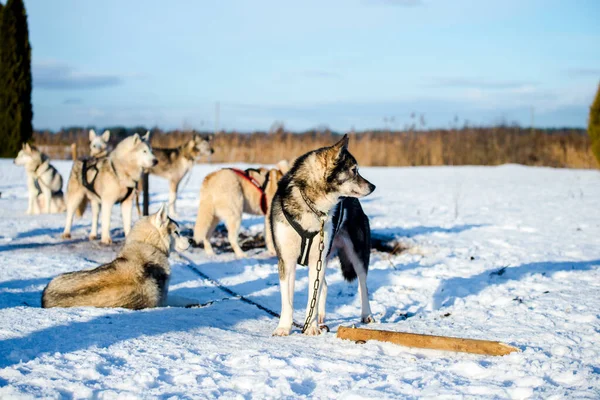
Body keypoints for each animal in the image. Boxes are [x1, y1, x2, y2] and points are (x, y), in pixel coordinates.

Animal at [270, 136, 376, 336]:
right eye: (354, 170)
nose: (373, 186)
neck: (310, 204)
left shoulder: (315, 260)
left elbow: (312, 296)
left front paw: (310, 327)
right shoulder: (287, 261)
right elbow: (287, 301)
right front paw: (284, 327)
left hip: (356, 255)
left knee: (363, 285)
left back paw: (367, 315)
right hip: (325, 257)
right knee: (324, 286)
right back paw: (321, 319)